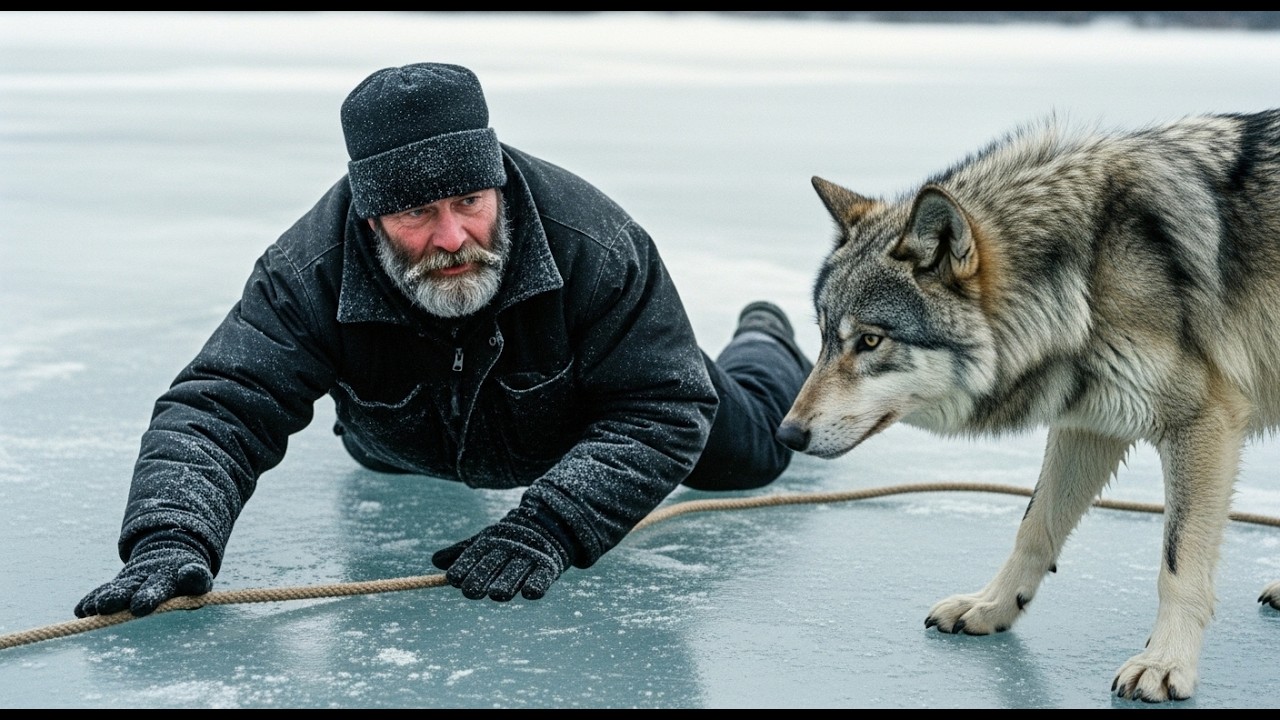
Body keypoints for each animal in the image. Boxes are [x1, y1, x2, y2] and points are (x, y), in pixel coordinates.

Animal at [775, 108, 1280, 703]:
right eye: (825, 338)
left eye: (871, 341)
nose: (787, 434)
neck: (1088, 271)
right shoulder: (1090, 423)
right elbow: (1034, 527)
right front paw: (992, 606)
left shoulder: (1202, 424)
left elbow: (1177, 563)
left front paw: (1165, 663)